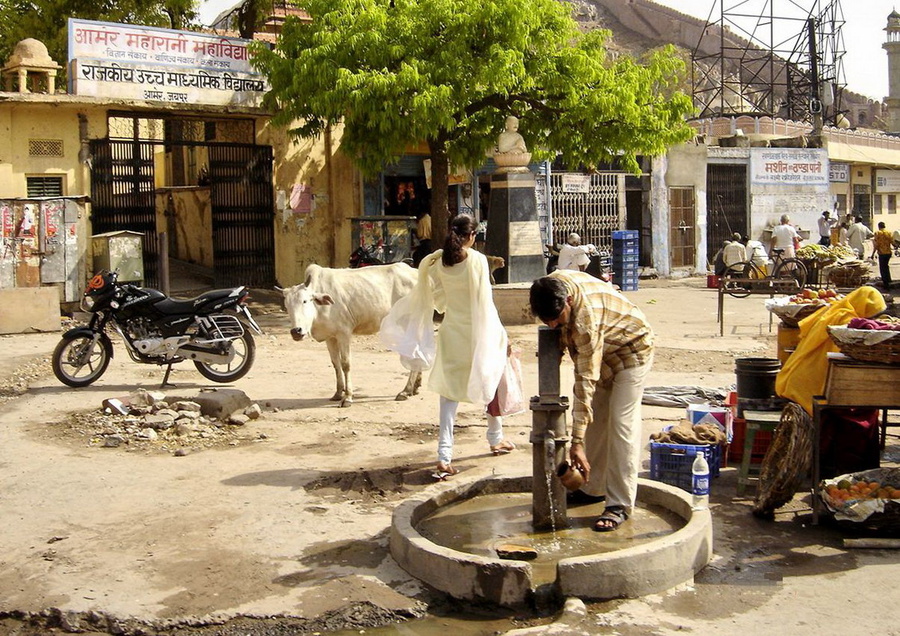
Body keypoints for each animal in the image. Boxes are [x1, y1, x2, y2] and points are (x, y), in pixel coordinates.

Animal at [282, 262, 422, 408]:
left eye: (305, 301)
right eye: (287, 305)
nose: (296, 331)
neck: (318, 310)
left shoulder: (344, 333)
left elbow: (345, 364)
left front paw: (348, 397)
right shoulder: (330, 337)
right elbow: (336, 364)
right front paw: (338, 393)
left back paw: (406, 390)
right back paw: (415, 387)